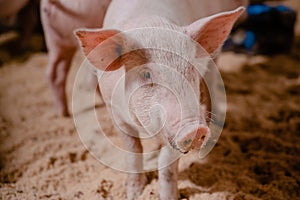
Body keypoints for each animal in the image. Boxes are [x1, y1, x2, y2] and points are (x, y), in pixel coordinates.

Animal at [75, 0, 246, 199]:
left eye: (191, 69)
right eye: (146, 74)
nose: (195, 129)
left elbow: (167, 165)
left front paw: (169, 195)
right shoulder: (114, 111)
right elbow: (133, 151)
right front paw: (134, 193)